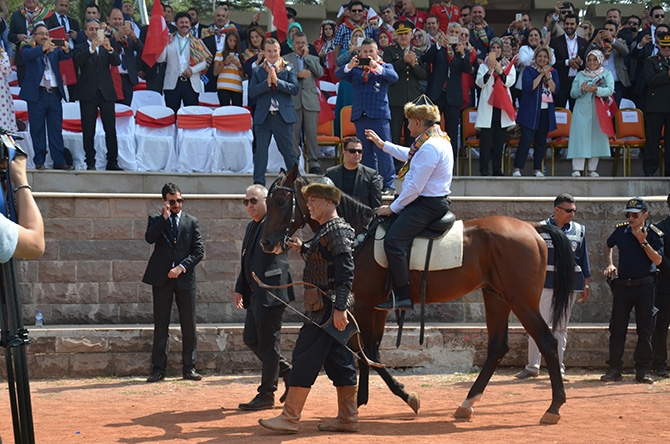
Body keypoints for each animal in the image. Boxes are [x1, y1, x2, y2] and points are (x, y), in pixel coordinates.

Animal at [260, 166, 576, 424]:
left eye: (280, 201)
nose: (266, 241)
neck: (359, 235)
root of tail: (532, 227)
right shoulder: (378, 307)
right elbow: (370, 350)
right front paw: (363, 400)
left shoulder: (364, 305)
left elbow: (366, 352)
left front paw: (402, 397)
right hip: (496, 297)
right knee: (498, 347)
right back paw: (467, 404)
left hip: (521, 300)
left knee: (547, 341)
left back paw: (554, 407)